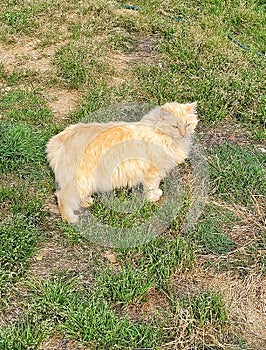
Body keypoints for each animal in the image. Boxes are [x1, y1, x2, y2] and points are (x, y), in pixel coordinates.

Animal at [46, 101, 198, 224]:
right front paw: (154, 197)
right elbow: (152, 187)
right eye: (175, 126)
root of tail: (61, 138)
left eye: (187, 125)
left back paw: (85, 202)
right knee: (61, 197)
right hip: (81, 181)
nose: (183, 134)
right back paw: (70, 219)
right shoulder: (153, 172)